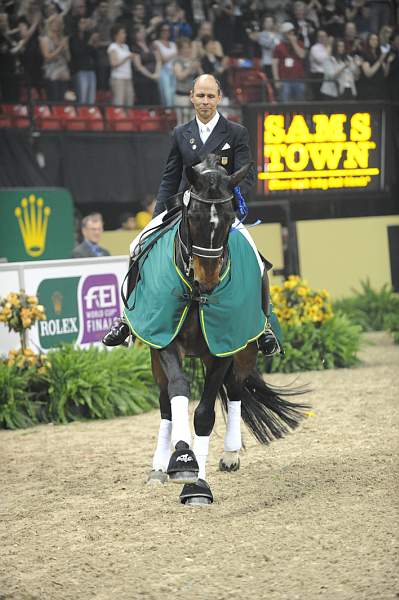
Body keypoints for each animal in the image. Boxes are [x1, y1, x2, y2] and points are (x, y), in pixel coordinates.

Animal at [130, 154, 308, 502]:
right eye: (193, 216)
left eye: (228, 218)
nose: (208, 277)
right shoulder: (165, 341)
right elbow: (178, 390)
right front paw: (181, 457)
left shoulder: (224, 346)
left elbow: (205, 414)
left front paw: (197, 482)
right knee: (165, 401)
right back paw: (158, 468)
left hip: (245, 351)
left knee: (236, 390)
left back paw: (229, 455)